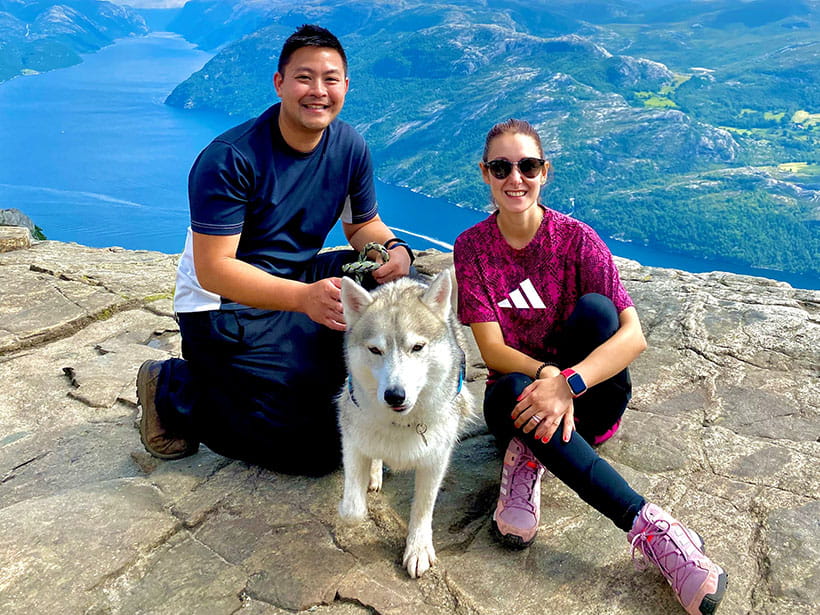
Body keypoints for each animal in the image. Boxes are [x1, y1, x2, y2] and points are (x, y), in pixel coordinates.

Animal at [334, 270, 474, 576]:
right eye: (375, 350)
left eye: (417, 347)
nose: (394, 395)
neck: (401, 423)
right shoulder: (351, 432)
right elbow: (352, 510)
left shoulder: (436, 457)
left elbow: (423, 507)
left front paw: (418, 547)